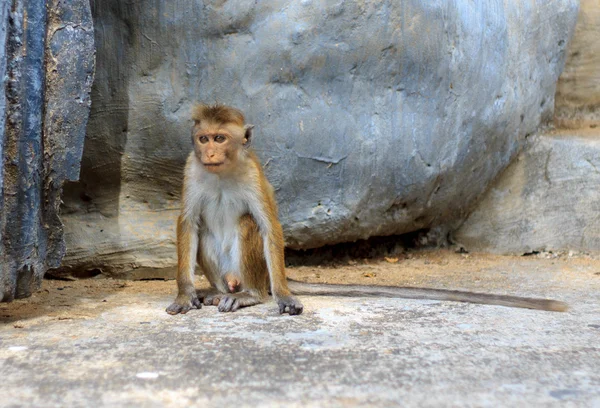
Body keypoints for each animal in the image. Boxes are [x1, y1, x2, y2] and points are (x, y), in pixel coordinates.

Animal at [166, 103, 568, 316]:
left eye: (221, 138)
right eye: (203, 138)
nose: (210, 152)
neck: (223, 172)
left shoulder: (251, 173)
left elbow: (268, 226)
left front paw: (283, 296)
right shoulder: (191, 168)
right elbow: (188, 224)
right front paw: (185, 293)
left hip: (257, 271)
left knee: (248, 225)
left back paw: (249, 294)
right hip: (223, 273)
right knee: (204, 231)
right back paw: (213, 291)